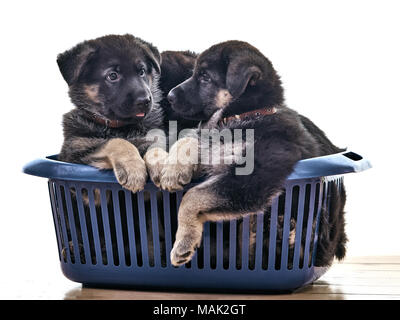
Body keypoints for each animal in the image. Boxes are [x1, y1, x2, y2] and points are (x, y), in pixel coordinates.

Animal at [161, 40, 346, 268]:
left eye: (205, 77)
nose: (168, 96)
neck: (244, 115)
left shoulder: (253, 176)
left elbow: (192, 196)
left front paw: (183, 242)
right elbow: (188, 139)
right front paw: (172, 171)